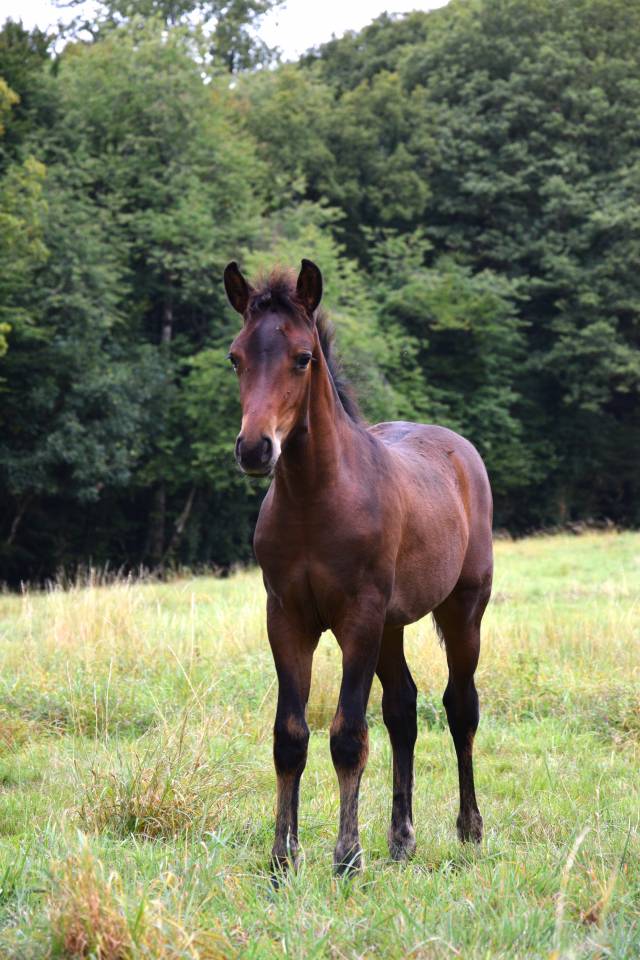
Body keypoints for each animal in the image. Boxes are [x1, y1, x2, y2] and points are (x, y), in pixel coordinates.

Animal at [223, 258, 493, 875]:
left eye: (303, 356)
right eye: (236, 356)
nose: (255, 449)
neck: (316, 499)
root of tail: (460, 449)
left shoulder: (358, 618)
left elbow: (347, 734)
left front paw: (347, 856)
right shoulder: (286, 618)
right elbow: (290, 736)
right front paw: (283, 857)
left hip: (462, 610)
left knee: (460, 706)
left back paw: (469, 829)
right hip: (392, 626)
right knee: (404, 709)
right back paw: (401, 837)